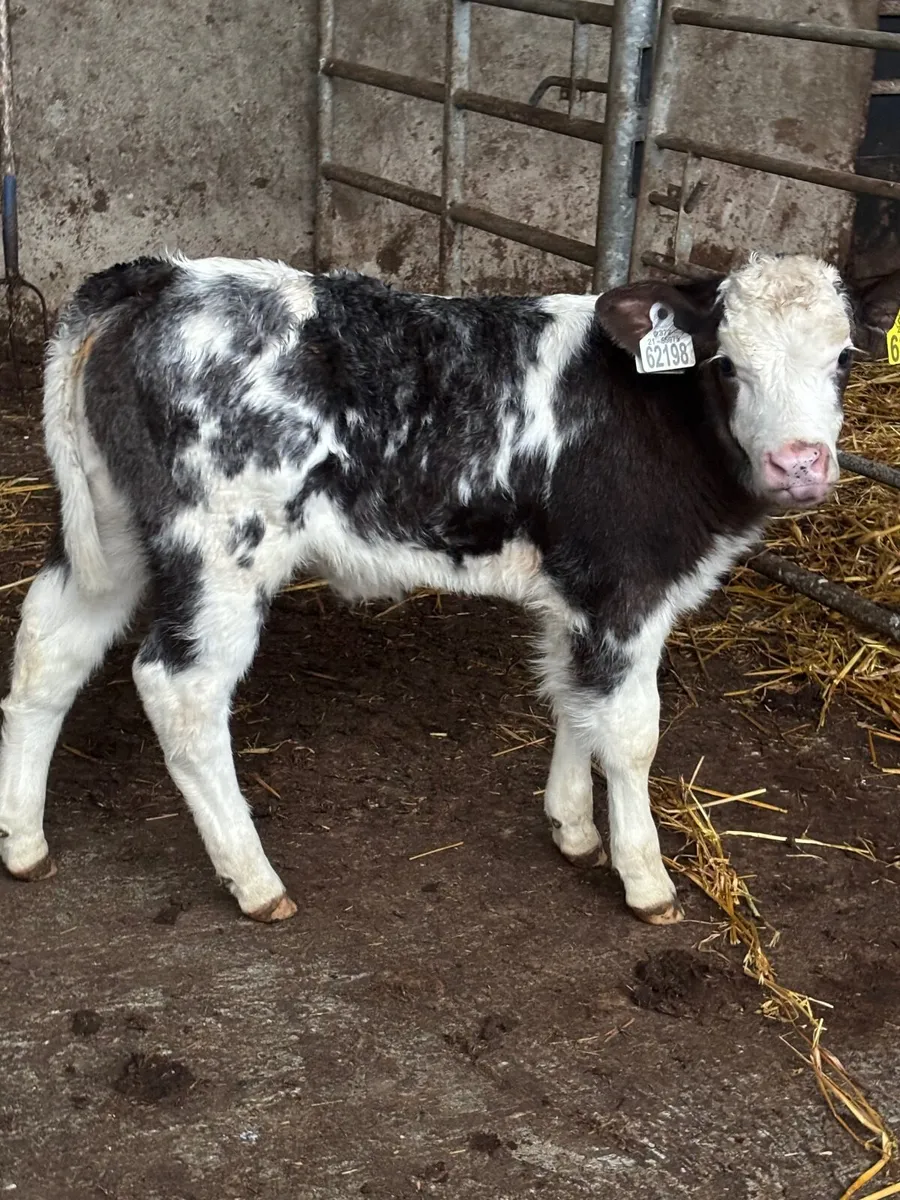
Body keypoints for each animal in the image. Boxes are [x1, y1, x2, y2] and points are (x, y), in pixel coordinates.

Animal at [0, 252, 854, 924]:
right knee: (178, 689)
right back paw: (255, 880)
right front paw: (644, 879)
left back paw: (24, 842)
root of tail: (163, 275)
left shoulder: (574, 590)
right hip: (221, 551)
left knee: (48, 649)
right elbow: (631, 732)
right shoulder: (624, 590)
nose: (800, 462)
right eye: (726, 363)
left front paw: (572, 829)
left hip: (109, 529)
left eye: (844, 358)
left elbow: (571, 699)